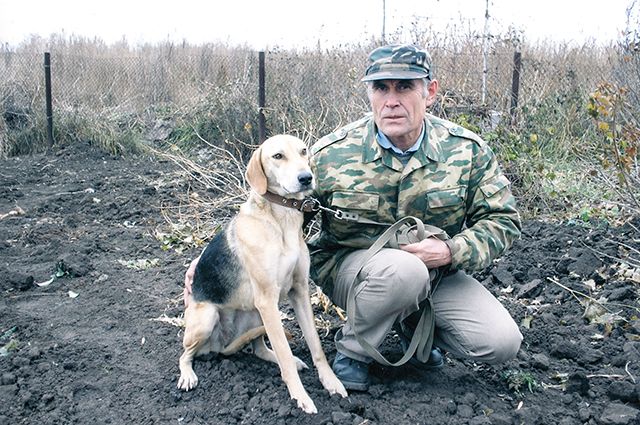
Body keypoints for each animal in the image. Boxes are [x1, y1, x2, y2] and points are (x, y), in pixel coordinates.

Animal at [178, 134, 348, 412]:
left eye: (304, 151)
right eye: (278, 156)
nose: (306, 178)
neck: (282, 219)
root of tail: (221, 346)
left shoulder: (299, 291)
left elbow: (316, 345)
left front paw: (331, 383)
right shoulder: (267, 298)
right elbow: (285, 354)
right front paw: (301, 398)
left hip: (257, 314)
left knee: (260, 348)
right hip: (209, 318)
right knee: (185, 354)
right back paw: (187, 375)